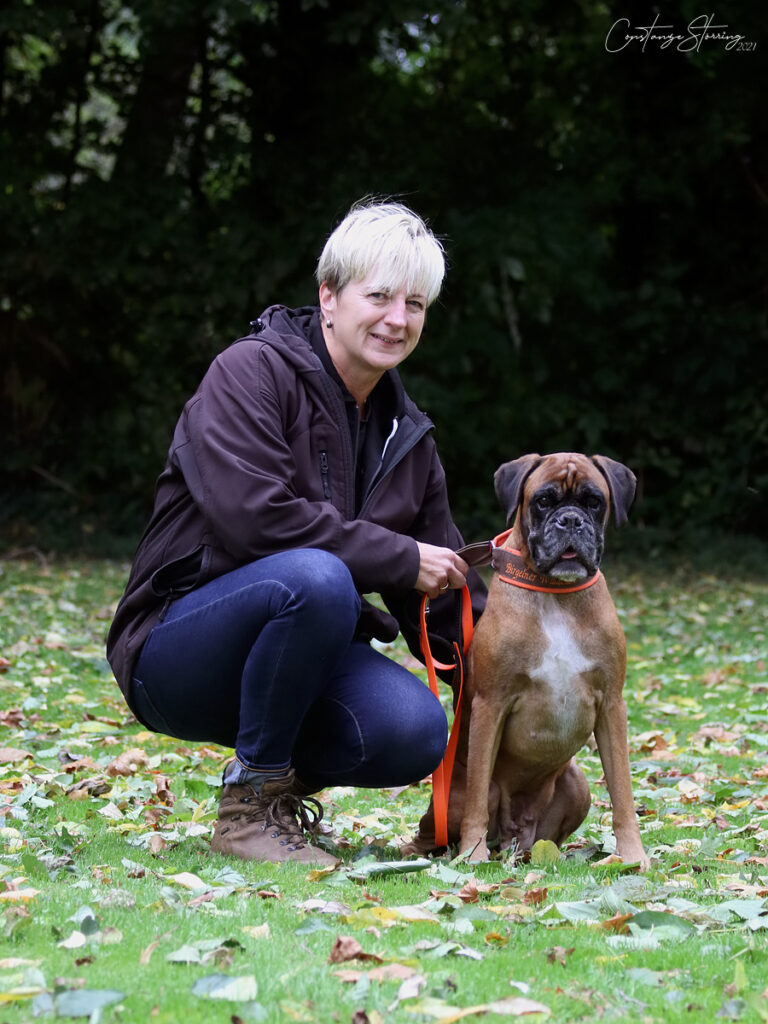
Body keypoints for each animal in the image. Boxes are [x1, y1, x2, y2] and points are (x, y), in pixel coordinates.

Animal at [405, 452, 651, 868]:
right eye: (543, 501)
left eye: (594, 502)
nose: (570, 520)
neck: (556, 595)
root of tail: (511, 838)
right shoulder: (490, 705)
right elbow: (477, 802)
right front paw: (472, 855)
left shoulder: (611, 706)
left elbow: (622, 792)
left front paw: (633, 856)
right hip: (452, 798)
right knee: (436, 831)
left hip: (575, 783)